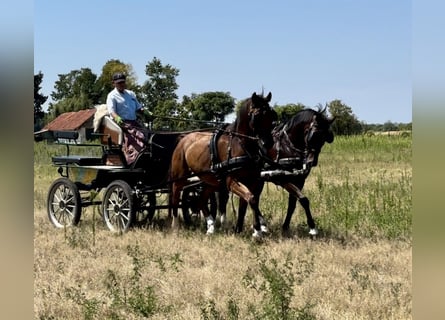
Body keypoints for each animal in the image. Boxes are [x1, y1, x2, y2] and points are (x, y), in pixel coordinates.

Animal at [168, 91, 276, 236]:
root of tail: (183, 138)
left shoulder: (251, 181)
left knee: (201, 200)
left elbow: (248, 203)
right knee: (175, 198)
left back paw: (211, 226)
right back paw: (175, 226)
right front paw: (257, 231)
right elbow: (251, 199)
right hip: (179, 178)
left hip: (211, 181)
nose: (268, 143)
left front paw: (244, 229)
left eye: (271, 114)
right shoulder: (231, 182)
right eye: (257, 115)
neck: (239, 144)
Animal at [217, 107, 334, 235]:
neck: (287, 146)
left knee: (252, 198)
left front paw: (286, 227)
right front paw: (312, 228)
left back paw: (260, 225)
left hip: (257, 180)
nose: (311, 162)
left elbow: (295, 203)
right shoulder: (283, 179)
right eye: (314, 135)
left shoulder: (299, 180)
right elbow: (302, 199)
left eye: (325, 137)